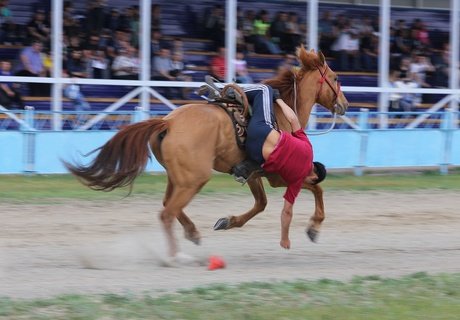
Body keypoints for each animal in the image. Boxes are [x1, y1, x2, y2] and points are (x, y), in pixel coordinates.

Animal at [64, 48, 348, 262]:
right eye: (335, 78)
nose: (344, 104)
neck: (284, 111)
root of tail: (168, 122)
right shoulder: (278, 176)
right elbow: (316, 188)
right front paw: (314, 227)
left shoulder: (254, 173)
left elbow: (261, 203)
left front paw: (227, 222)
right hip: (194, 179)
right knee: (167, 213)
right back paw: (176, 256)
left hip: (179, 178)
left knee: (169, 206)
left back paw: (191, 234)